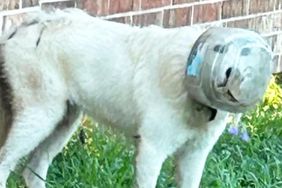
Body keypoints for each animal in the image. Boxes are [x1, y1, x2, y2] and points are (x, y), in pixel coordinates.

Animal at [0, 8, 272, 188]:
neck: (185, 74)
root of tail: (31, 23)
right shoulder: (152, 151)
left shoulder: (194, 155)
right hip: (40, 117)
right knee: (5, 162)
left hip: (64, 121)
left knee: (32, 170)